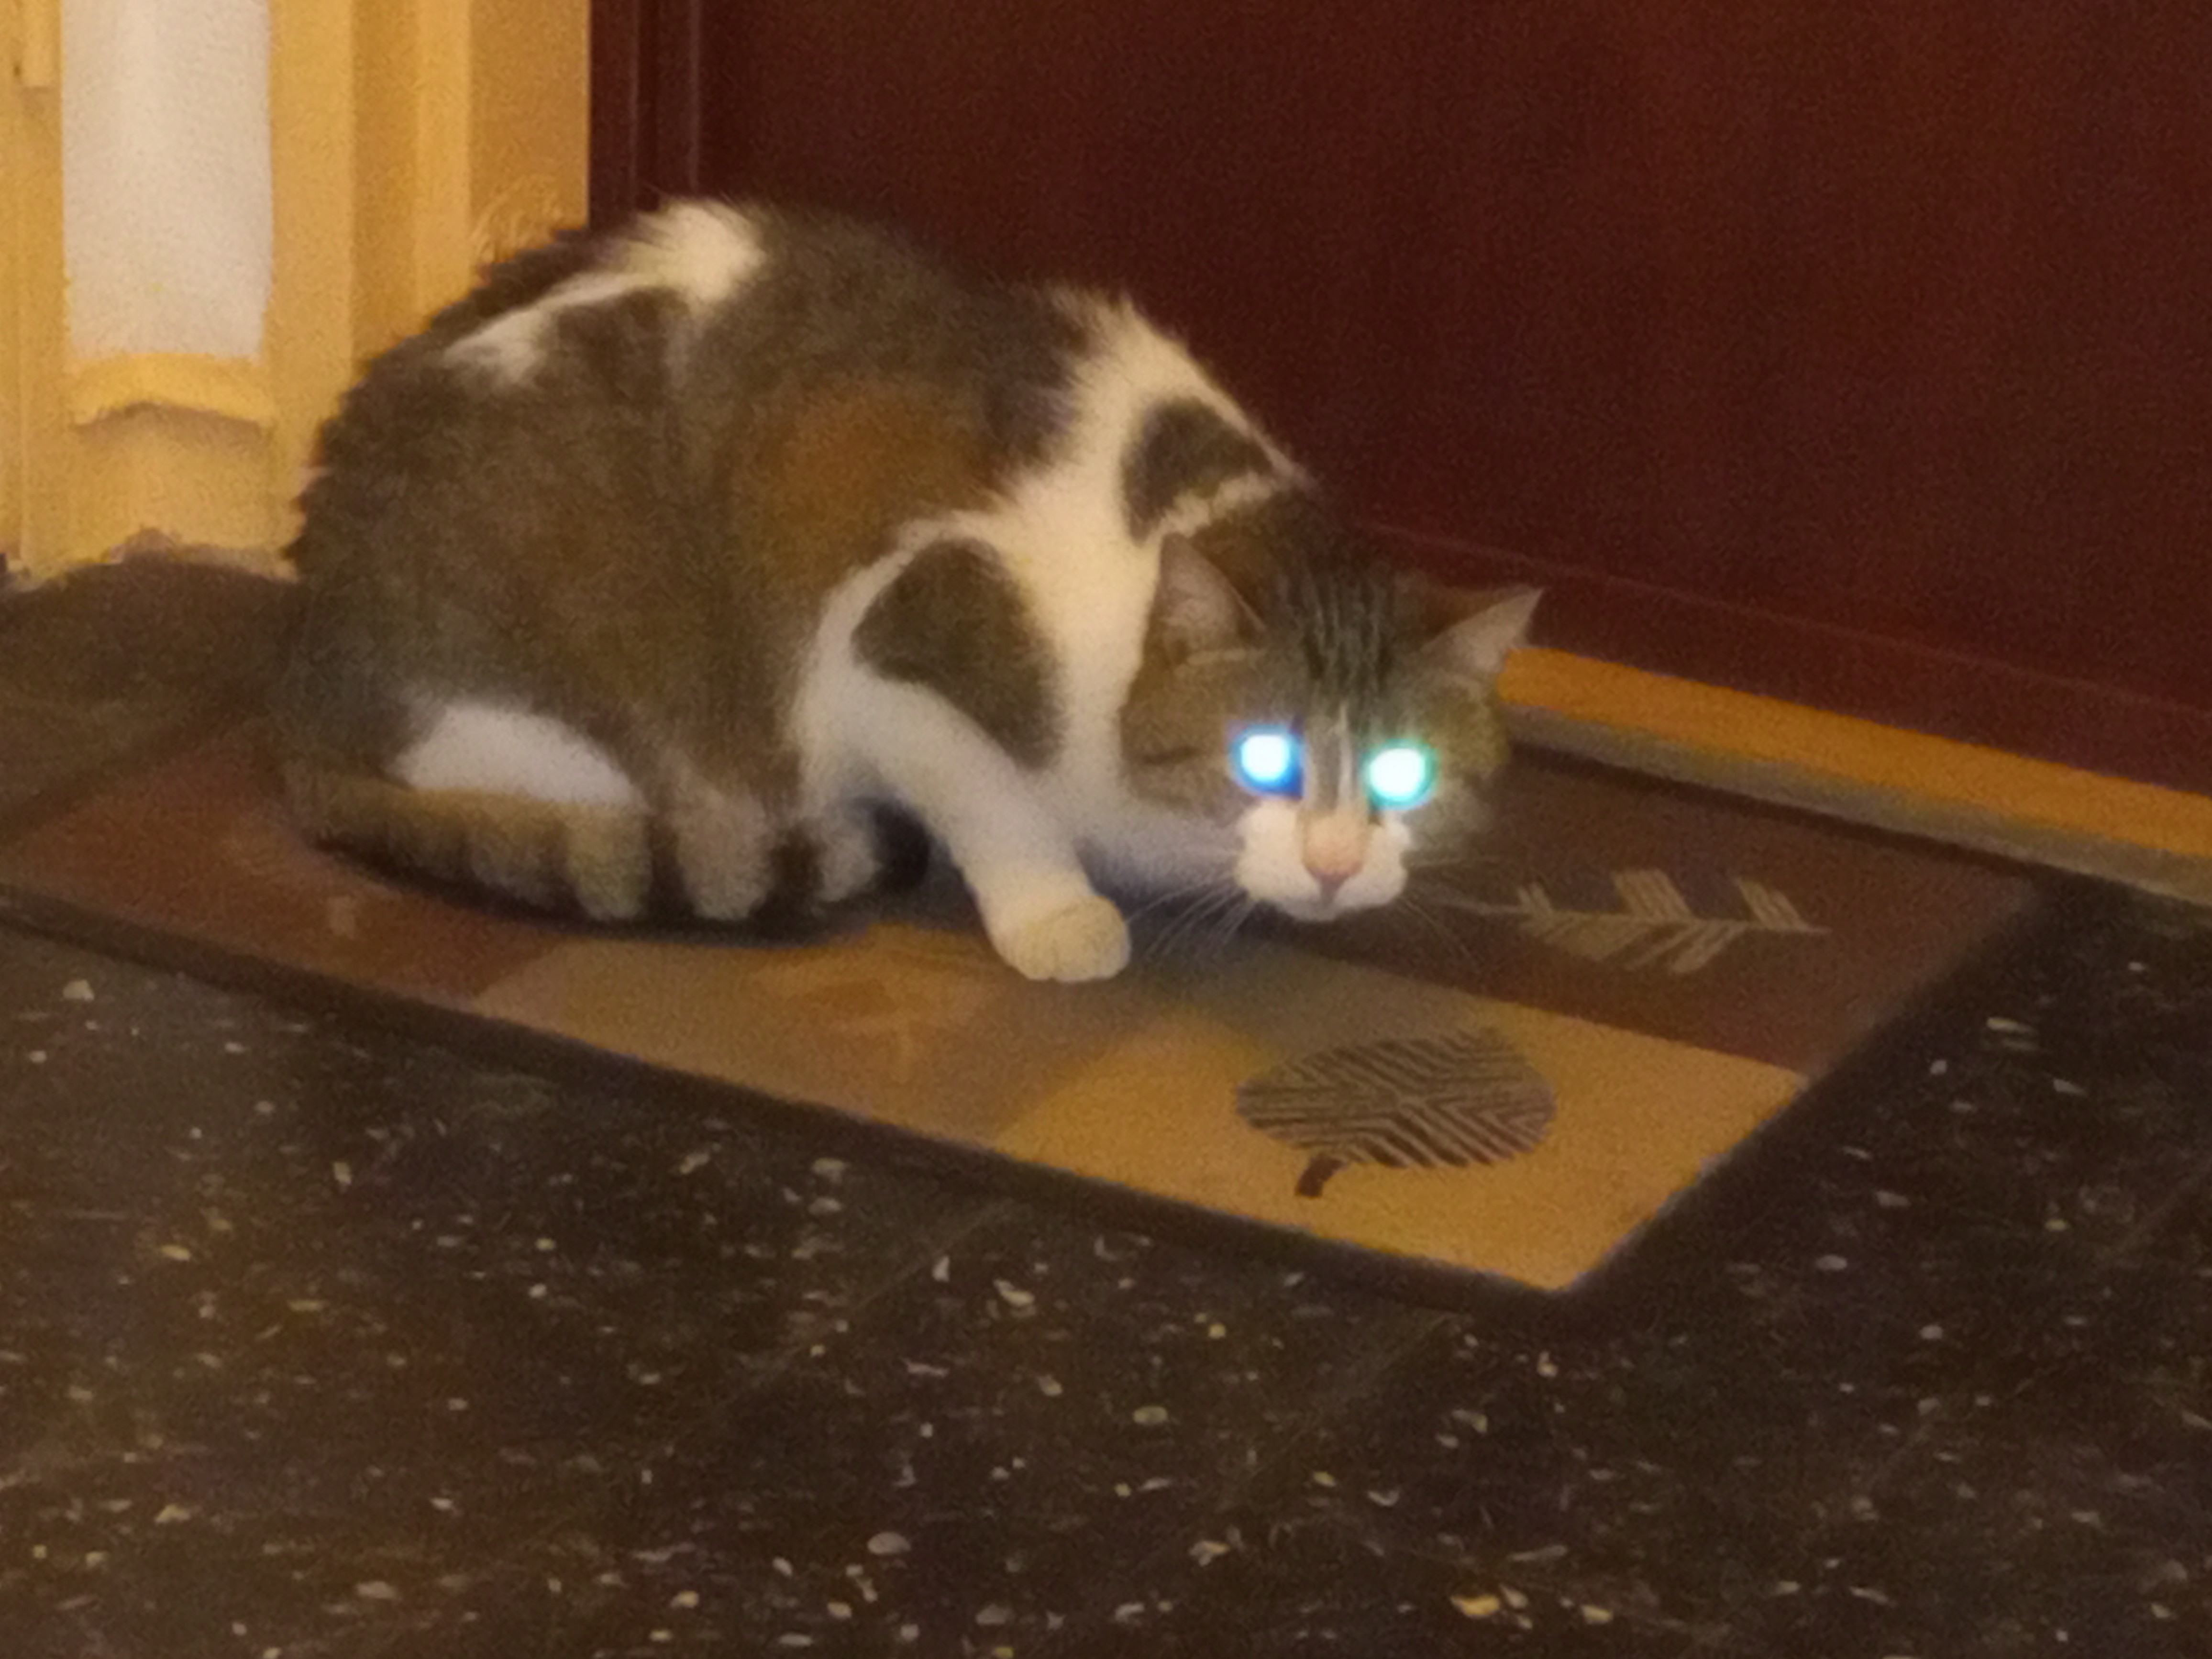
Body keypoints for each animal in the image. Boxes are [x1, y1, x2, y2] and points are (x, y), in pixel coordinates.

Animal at [273, 200, 1538, 982]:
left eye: (1402, 773)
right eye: (1263, 759)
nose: (1333, 864)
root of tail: (311, 679)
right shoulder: (875, 654)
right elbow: (996, 803)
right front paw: (1058, 914)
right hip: (588, 733)